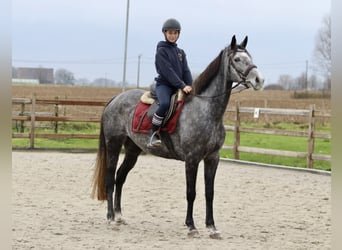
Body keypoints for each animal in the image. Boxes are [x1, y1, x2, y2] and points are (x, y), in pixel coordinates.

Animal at [91, 35, 264, 238]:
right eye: (237, 59)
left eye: (250, 57)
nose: (259, 80)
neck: (207, 110)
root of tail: (115, 99)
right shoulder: (192, 159)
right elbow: (191, 192)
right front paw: (191, 226)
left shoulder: (213, 158)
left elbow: (209, 193)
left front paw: (211, 227)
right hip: (113, 144)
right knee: (110, 177)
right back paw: (111, 217)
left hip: (133, 150)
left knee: (120, 177)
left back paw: (119, 215)